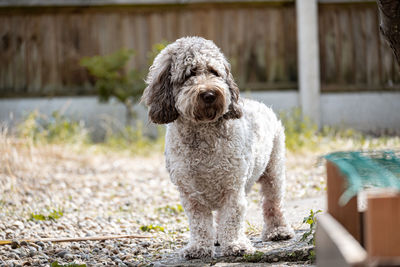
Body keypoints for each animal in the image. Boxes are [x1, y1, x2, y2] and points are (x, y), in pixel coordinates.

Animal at [142, 36, 292, 258]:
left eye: (214, 72)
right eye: (189, 74)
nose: (210, 94)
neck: (203, 133)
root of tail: (261, 105)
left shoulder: (232, 189)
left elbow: (232, 218)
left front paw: (236, 245)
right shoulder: (191, 195)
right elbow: (200, 224)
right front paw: (199, 248)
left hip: (273, 171)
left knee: (273, 203)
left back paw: (278, 231)